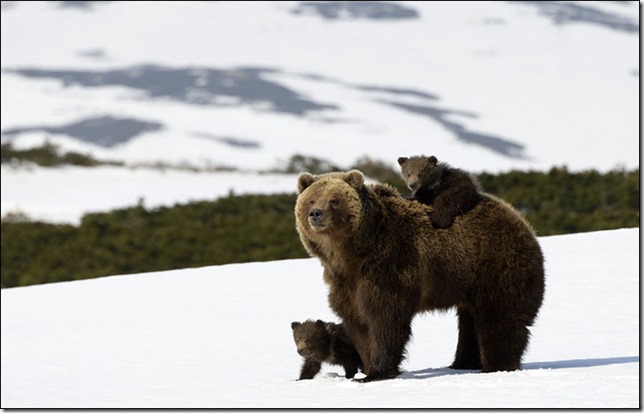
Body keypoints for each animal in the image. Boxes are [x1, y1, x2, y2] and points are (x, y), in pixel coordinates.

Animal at [296, 169, 544, 382]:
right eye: (311, 200)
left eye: (334, 200)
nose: (315, 214)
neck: (352, 254)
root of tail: (520, 219)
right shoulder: (345, 282)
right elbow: (358, 322)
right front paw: (364, 368)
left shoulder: (389, 267)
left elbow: (385, 319)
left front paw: (377, 372)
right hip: (469, 282)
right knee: (470, 322)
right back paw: (463, 363)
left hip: (496, 265)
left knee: (500, 318)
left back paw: (496, 366)